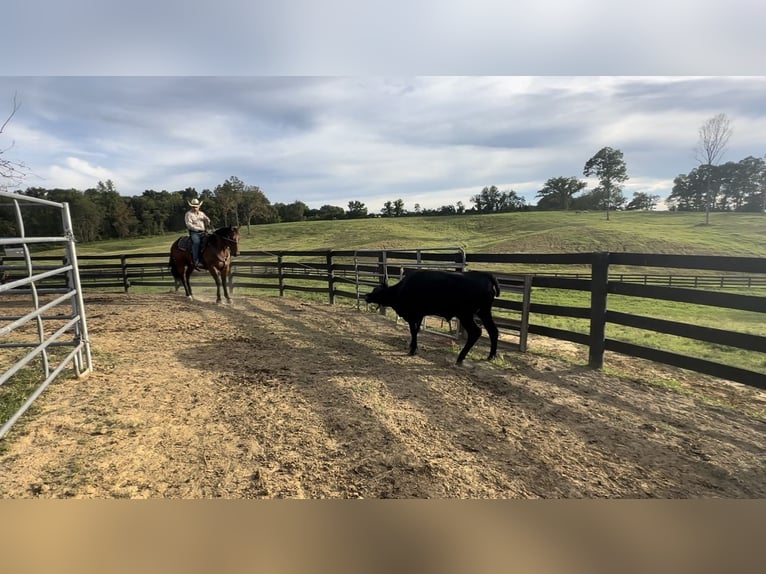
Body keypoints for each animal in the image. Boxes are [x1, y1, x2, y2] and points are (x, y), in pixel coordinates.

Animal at [366, 272, 504, 364]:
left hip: (465, 315)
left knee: (476, 332)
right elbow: (416, 331)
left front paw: (412, 350)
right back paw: (491, 356)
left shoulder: (412, 315)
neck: (401, 289)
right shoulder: (419, 315)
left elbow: (413, 331)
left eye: (376, 291)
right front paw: (413, 347)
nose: (366, 296)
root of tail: (485, 276)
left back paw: (460, 358)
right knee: (493, 330)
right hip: (484, 312)